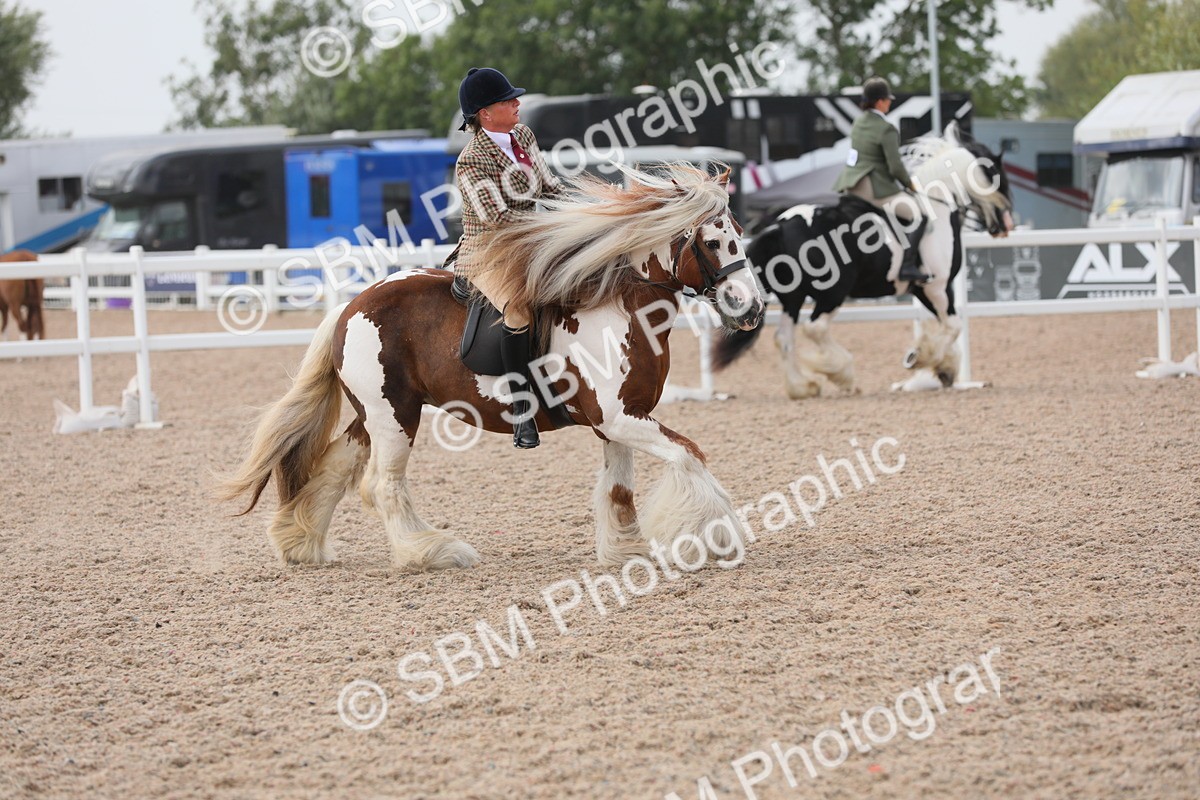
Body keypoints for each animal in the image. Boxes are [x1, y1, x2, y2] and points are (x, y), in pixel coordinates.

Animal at [220, 163, 766, 570]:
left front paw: (627, 551)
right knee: (383, 485)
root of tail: (351, 307)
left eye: (740, 233)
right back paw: (432, 552)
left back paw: (300, 544)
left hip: (375, 415)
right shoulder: (620, 418)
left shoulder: (619, 422)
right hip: (395, 417)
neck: (620, 307)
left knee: (337, 467)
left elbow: (619, 489)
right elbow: (690, 455)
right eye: (712, 242)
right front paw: (712, 539)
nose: (751, 308)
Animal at [713, 122, 1014, 398]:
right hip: (833, 291)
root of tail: (780, 225)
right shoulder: (937, 287)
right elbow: (953, 326)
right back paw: (842, 373)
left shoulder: (923, 289)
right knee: (815, 328)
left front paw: (944, 369)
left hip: (793, 297)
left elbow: (948, 326)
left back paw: (803, 387)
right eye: (998, 175)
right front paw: (923, 358)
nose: (1006, 225)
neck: (938, 206)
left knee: (784, 338)